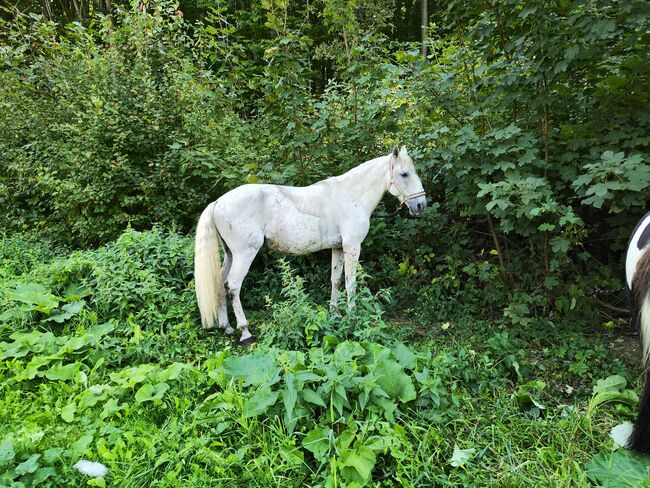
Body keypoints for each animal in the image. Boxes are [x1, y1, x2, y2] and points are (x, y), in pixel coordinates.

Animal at [194, 146, 427, 344]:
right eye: (404, 174)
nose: (421, 205)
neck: (351, 197)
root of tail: (218, 202)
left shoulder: (338, 248)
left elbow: (335, 280)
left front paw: (335, 314)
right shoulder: (352, 246)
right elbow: (350, 283)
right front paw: (352, 317)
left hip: (230, 254)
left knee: (220, 282)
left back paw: (226, 327)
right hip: (244, 254)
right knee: (233, 285)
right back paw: (245, 333)